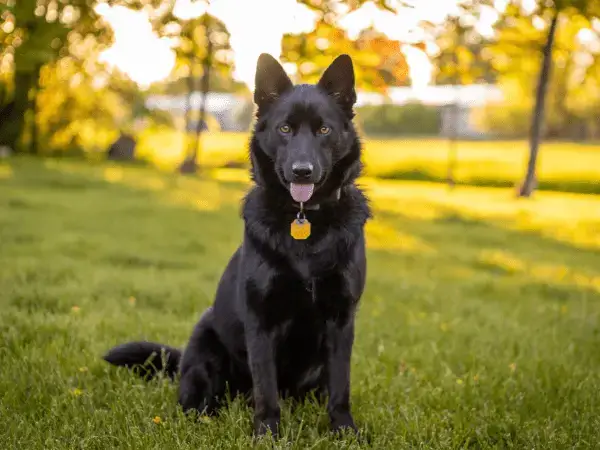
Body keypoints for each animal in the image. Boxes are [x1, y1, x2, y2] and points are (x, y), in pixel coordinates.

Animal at [105, 51, 372, 436]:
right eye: (284, 129)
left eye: (324, 130)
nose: (302, 171)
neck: (304, 220)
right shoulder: (261, 321)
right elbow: (266, 388)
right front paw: (267, 434)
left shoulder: (341, 320)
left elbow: (340, 385)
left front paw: (343, 431)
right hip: (204, 345)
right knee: (199, 401)